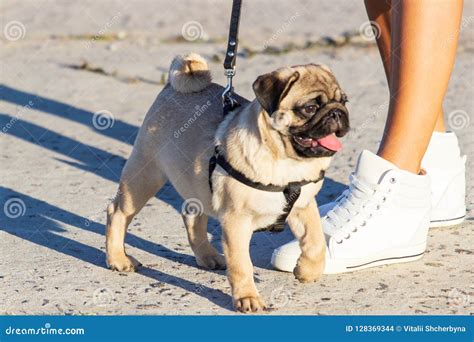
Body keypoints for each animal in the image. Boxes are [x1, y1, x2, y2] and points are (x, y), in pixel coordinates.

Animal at [105, 53, 348, 312]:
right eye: (310, 108)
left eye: (344, 101)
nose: (337, 113)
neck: (286, 161)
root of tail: (172, 86)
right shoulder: (236, 222)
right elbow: (242, 265)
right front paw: (247, 298)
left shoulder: (303, 206)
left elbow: (315, 242)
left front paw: (307, 271)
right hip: (145, 175)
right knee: (117, 212)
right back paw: (118, 259)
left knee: (191, 216)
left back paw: (207, 257)